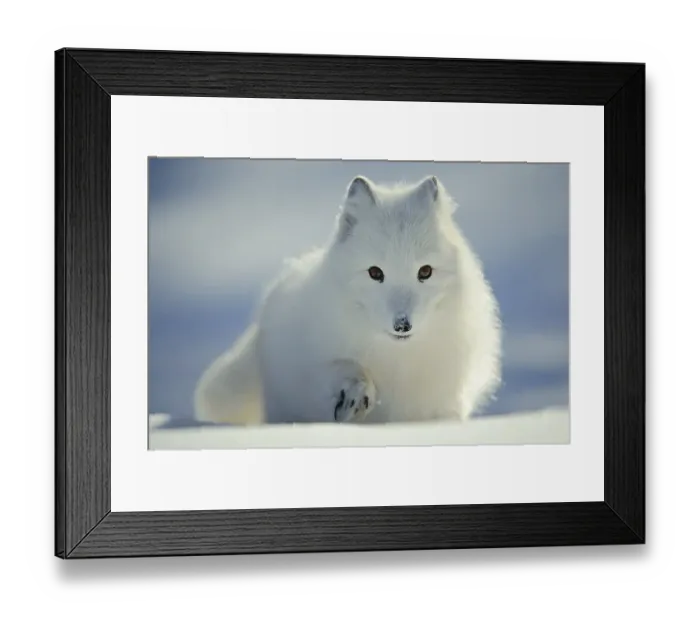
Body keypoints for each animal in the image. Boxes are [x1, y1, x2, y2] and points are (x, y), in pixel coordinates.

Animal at [194, 175, 502, 425]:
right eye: (375, 273)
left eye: (424, 272)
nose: (402, 325)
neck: (396, 362)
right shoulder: (306, 370)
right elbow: (344, 366)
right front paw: (355, 393)